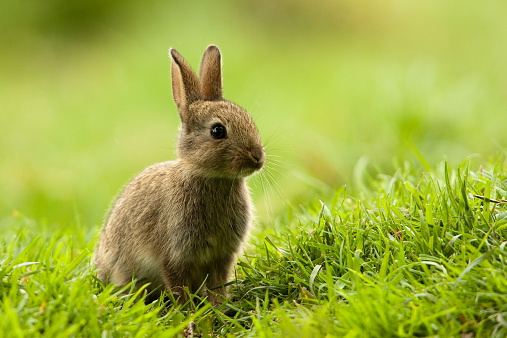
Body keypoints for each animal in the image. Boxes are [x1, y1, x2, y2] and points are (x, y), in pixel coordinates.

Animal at [94, 43, 266, 304]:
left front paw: (221, 305)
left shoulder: (222, 255)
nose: (257, 157)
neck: (211, 177)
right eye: (218, 131)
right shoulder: (174, 253)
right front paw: (187, 310)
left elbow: (218, 281)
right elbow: (177, 282)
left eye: (249, 120)